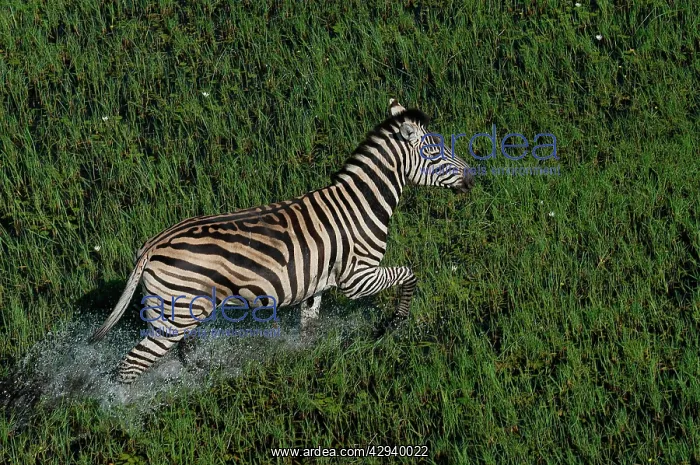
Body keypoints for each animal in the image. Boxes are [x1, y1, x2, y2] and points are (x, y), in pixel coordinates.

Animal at [89, 99, 475, 383]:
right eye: (436, 153)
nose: (473, 177)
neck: (360, 204)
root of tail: (152, 245)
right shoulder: (357, 278)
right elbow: (410, 275)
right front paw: (392, 325)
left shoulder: (318, 283)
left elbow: (309, 327)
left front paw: (308, 359)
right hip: (175, 316)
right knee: (128, 369)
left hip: (176, 312)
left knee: (175, 353)